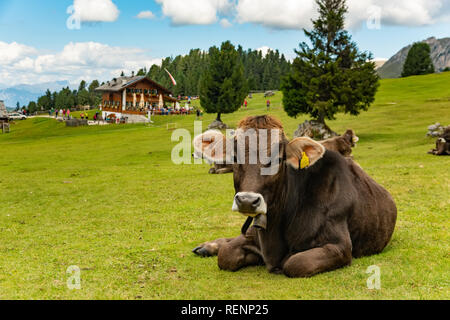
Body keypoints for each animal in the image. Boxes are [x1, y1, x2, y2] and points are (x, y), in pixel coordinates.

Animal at [192, 115, 396, 278]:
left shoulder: (340, 246)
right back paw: (206, 246)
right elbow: (226, 254)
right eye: (234, 157)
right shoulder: (255, 234)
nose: (247, 201)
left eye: (278, 159)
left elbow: (295, 263)